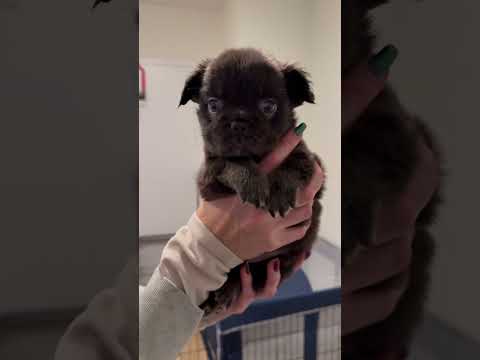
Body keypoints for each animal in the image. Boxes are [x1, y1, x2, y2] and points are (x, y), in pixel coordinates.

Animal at [181, 48, 326, 316]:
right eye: (214, 105)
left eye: (268, 106)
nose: (238, 121)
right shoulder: (209, 177)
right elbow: (232, 162)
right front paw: (251, 181)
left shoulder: (311, 164)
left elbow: (291, 164)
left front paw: (277, 192)